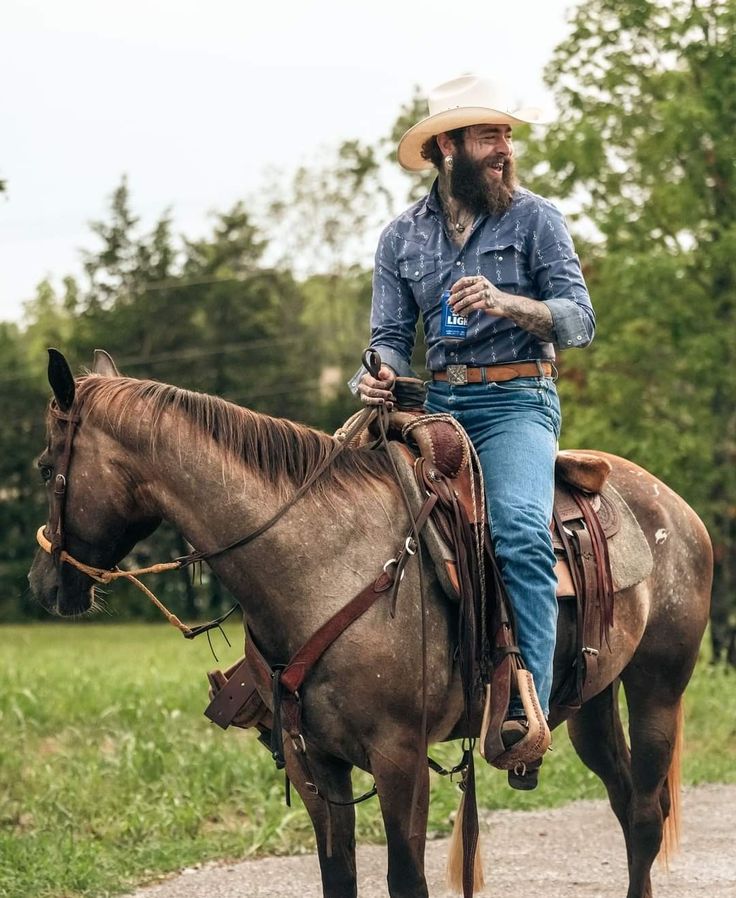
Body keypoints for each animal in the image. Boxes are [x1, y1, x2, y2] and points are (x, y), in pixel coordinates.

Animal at [30, 350, 712, 896]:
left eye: (42, 466)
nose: (41, 583)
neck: (321, 561)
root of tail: (677, 508)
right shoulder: (314, 762)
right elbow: (340, 877)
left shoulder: (399, 758)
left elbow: (405, 880)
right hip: (590, 702)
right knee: (624, 800)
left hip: (657, 689)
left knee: (645, 816)